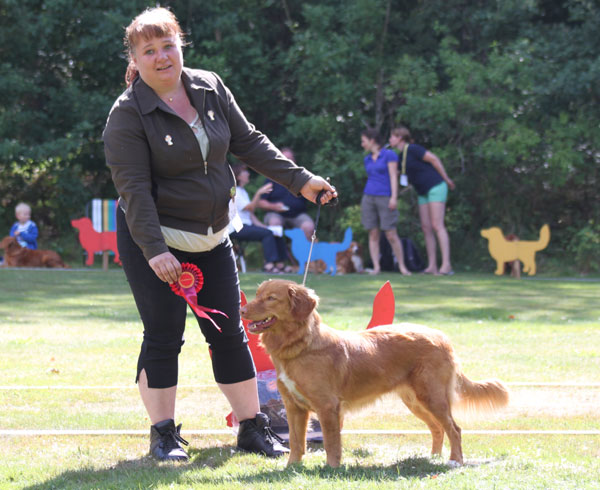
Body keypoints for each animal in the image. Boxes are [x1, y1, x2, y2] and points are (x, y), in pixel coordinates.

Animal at [241, 279, 509, 467]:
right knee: (437, 428)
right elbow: (297, 442)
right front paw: (290, 468)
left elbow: (331, 443)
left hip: (432, 397)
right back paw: (432, 457)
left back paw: (455, 461)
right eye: (256, 295)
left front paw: (331, 469)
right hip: (415, 400)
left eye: (271, 298)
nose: (241, 310)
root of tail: (441, 336)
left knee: (454, 428)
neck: (300, 345)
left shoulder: (327, 407)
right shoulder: (294, 406)